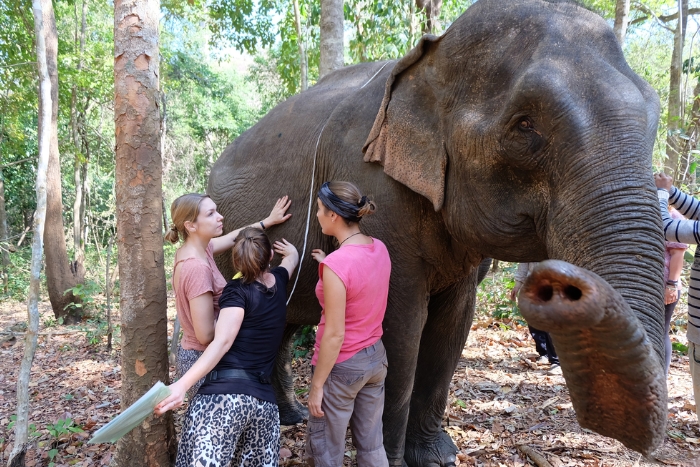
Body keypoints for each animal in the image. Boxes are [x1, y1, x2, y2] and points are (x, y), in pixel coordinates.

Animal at [208, 0, 667, 464]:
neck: (428, 58)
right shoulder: (373, 186)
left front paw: (436, 456)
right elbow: (401, 325)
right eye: (525, 126)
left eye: (655, 115)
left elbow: (453, 325)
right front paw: (393, 457)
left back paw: (293, 417)